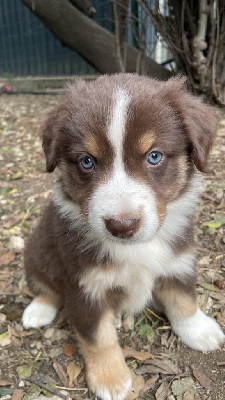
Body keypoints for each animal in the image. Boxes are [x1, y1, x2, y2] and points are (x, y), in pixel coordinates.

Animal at [22, 73, 224, 398]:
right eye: (87, 161)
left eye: (154, 156)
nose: (122, 226)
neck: (136, 248)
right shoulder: (84, 285)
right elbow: (98, 338)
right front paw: (111, 378)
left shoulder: (178, 260)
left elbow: (184, 299)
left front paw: (199, 330)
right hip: (37, 252)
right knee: (46, 287)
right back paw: (38, 310)